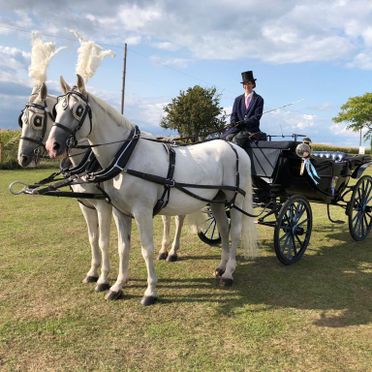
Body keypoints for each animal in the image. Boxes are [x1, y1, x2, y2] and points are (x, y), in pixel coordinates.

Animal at [45, 75, 256, 306]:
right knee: (224, 230)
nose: (52, 146)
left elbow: (146, 249)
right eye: (56, 109)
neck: (126, 157)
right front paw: (117, 286)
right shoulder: (119, 212)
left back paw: (228, 273)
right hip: (217, 200)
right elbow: (122, 247)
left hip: (236, 200)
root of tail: (236, 148)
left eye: (79, 109)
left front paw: (150, 291)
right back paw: (221, 266)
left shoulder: (142, 211)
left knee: (235, 232)